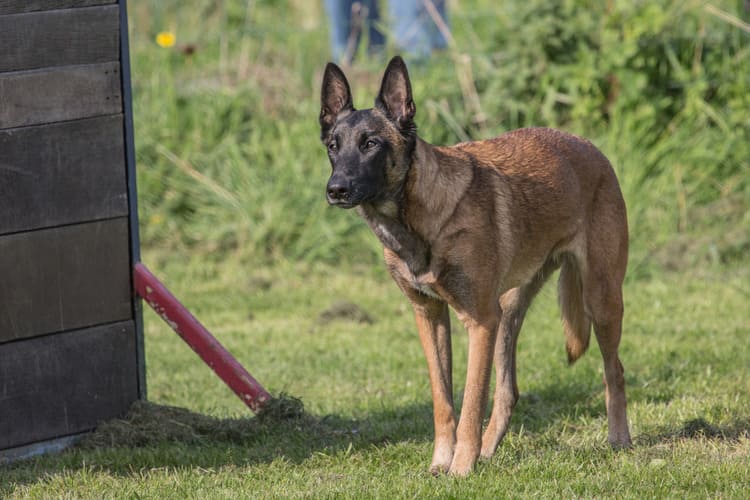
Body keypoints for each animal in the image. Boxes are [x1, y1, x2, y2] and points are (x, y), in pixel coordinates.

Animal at [320, 56, 632, 474]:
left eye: (371, 144)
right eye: (333, 146)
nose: (335, 190)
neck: (421, 217)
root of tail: (590, 146)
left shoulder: (479, 322)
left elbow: (470, 401)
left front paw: (461, 467)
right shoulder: (431, 316)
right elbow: (443, 400)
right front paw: (442, 461)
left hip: (600, 299)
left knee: (614, 371)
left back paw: (619, 439)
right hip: (508, 311)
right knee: (508, 391)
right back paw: (489, 448)